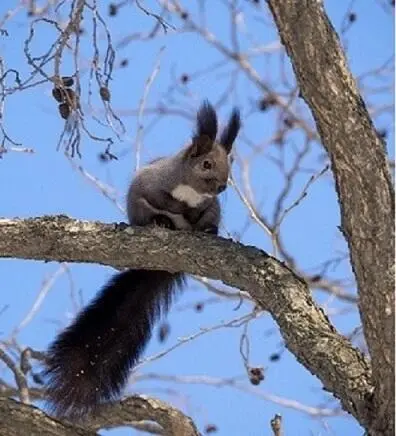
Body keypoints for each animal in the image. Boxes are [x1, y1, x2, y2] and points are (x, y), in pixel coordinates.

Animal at [43, 100, 241, 418]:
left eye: (230, 164)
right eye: (207, 164)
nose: (222, 186)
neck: (191, 192)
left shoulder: (212, 206)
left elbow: (203, 211)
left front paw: (196, 218)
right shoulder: (151, 183)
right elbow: (161, 198)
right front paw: (174, 211)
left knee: (207, 222)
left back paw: (205, 230)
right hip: (138, 208)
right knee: (150, 215)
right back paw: (163, 223)